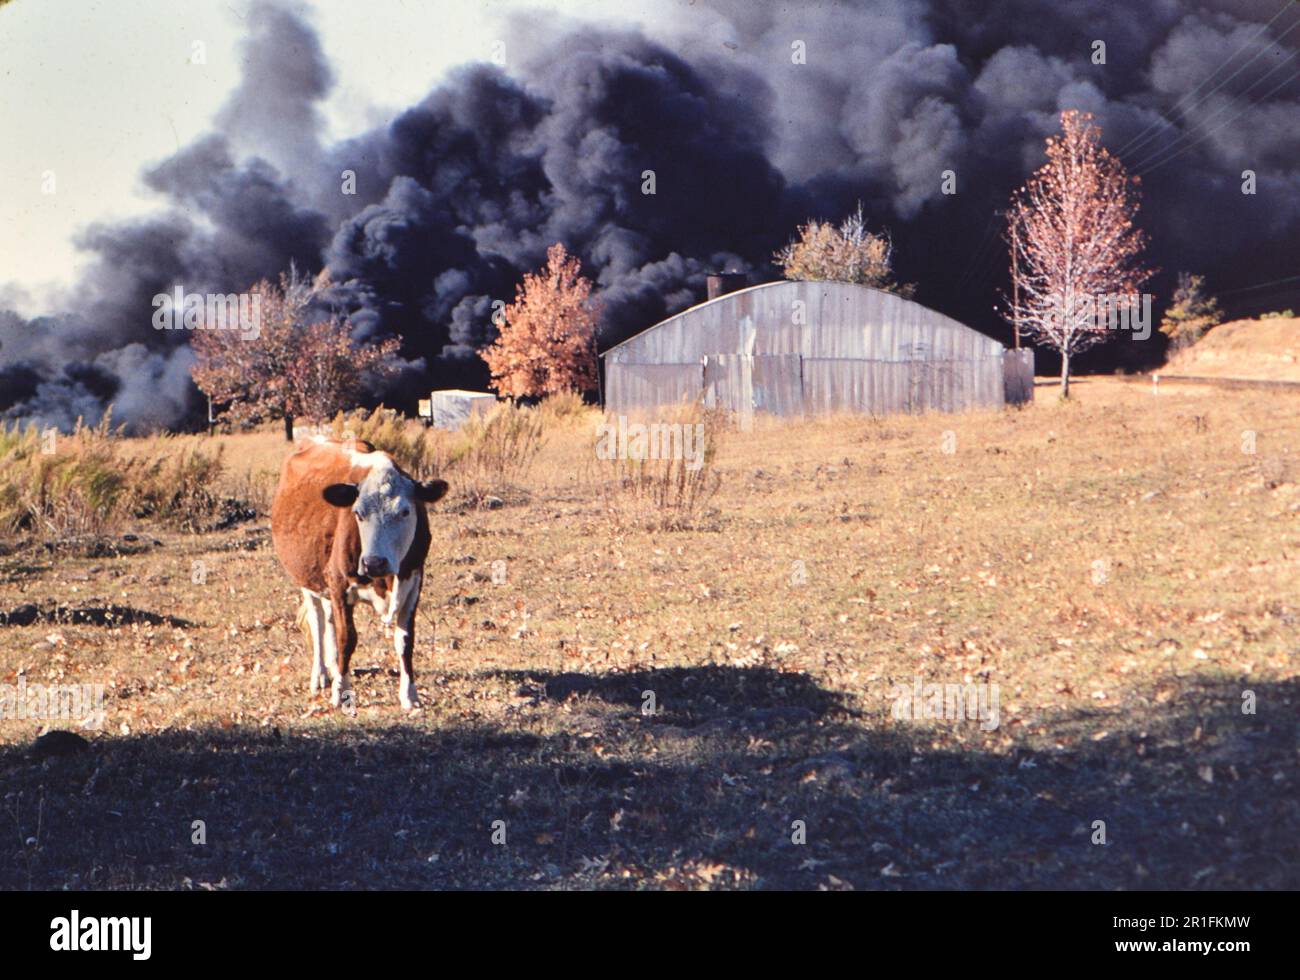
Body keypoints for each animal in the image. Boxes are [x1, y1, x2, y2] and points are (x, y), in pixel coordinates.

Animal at [269, 439, 447, 707]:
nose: (374, 562)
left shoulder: (413, 582)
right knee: (318, 622)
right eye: (358, 513)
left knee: (328, 619)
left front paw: (409, 695)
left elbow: (405, 640)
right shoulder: (340, 584)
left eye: (405, 512)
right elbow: (347, 638)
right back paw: (320, 676)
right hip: (307, 580)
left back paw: (334, 667)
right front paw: (341, 692)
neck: (386, 581)